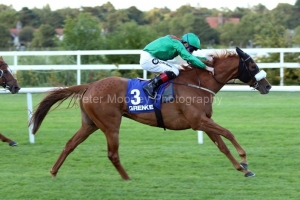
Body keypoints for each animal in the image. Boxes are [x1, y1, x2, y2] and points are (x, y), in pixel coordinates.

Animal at [29, 47, 272, 180]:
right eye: (252, 66)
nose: (267, 86)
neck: (198, 83)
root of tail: (89, 86)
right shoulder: (197, 121)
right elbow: (229, 133)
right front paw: (244, 160)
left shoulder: (204, 121)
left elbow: (222, 145)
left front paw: (242, 169)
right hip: (110, 125)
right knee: (112, 154)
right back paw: (127, 179)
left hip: (90, 124)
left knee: (70, 144)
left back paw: (53, 171)